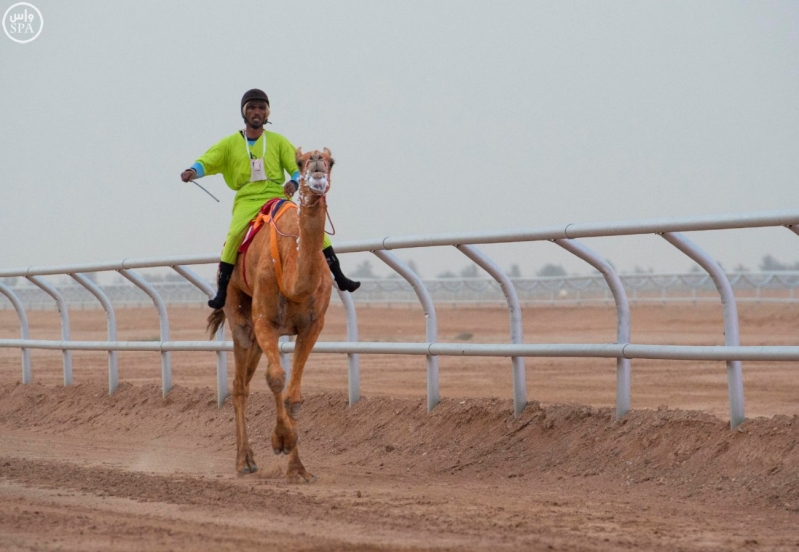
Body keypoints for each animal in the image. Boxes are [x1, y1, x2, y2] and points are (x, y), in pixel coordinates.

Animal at [208, 147, 336, 484]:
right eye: (302, 161)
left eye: (331, 161)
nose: (316, 163)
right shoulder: (265, 320)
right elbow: (276, 378)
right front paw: (282, 440)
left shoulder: (312, 326)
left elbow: (294, 397)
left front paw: (298, 469)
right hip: (240, 313)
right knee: (239, 385)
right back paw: (244, 461)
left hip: (256, 336)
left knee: (246, 380)